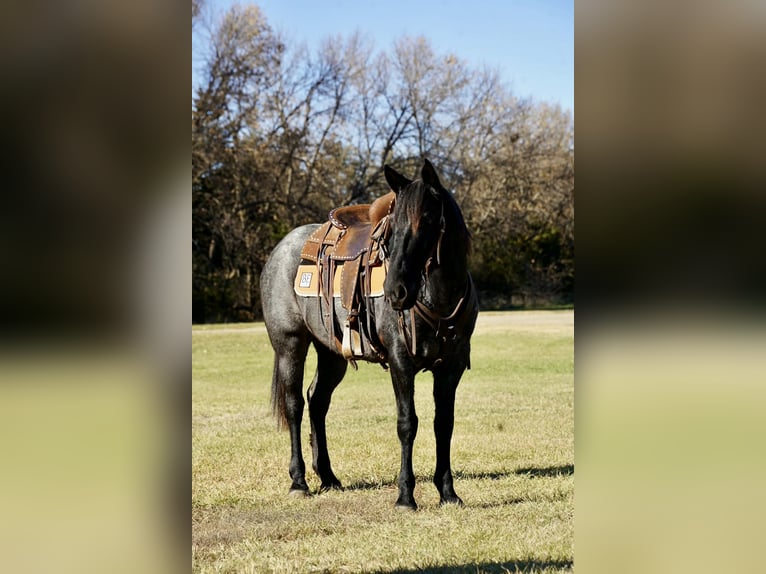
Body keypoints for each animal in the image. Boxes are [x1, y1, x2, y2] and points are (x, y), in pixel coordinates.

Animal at [260, 159, 478, 510]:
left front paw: (448, 492)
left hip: (332, 353)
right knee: (294, 404)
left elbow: (443, 424)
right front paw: (405, 496)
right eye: (392, 227)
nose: (395, 291)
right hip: (289, 345)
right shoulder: (402, 363)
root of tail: (281, 248)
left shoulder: (451, 367)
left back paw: (328, 477)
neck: (438, 296)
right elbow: (407, 424)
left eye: (428, 219)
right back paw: (299, 481)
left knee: (317, 400)